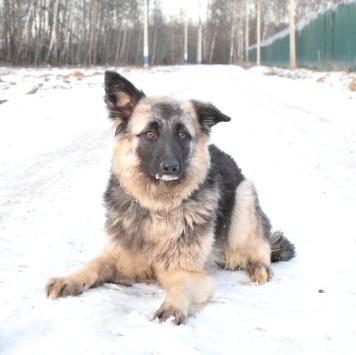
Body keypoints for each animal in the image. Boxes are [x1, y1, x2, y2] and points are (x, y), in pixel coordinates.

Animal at [44, 71, 294, 326]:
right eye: (150, 134)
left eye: (182, 135)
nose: (171, 168)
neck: (158, 204)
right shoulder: (116, 255)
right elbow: (93, 264)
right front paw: (69, 279)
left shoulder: (185, 271)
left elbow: (180, 288)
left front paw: (171, 308)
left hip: (244, 197)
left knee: (260, 245)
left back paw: (258, 266)